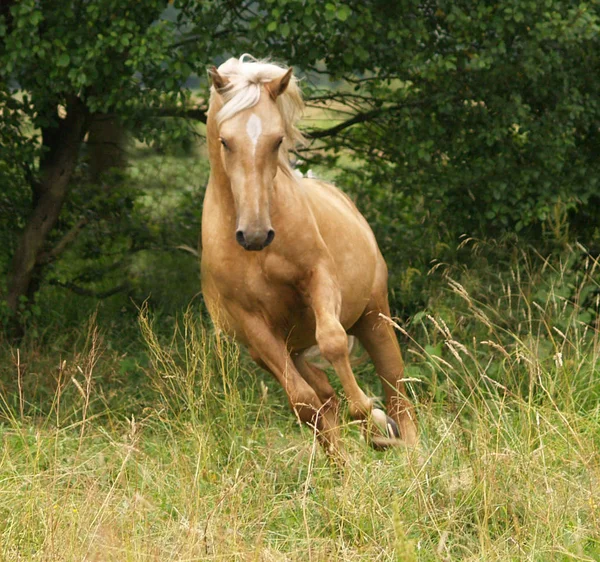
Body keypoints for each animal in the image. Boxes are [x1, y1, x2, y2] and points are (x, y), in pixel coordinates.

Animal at [202, 54, 418, 456]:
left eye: (276, 140)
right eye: (225, 140)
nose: (255, 234)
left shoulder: (319, 279)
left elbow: (333, 341)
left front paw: (365, 411)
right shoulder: (254, 324)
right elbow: (305, 404)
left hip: (374, 316)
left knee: (397, 393)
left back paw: (407, 450)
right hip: (287, 350)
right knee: (324, 402)